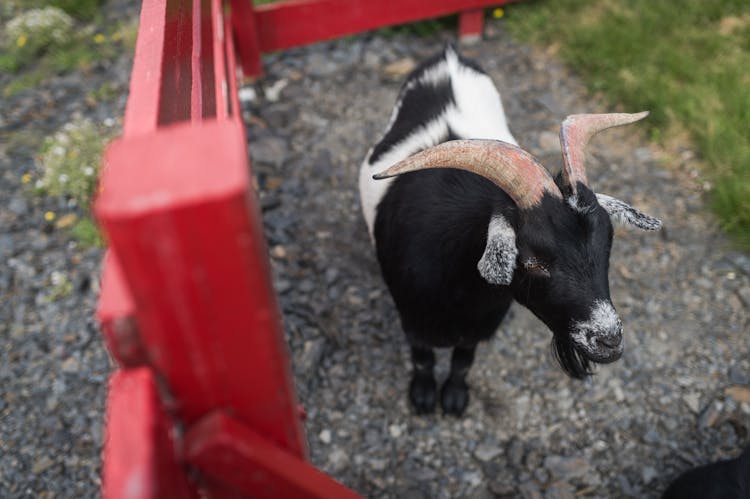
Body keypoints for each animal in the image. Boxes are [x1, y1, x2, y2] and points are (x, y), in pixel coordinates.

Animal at [362, 45, 660, 416]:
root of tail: (449, 54)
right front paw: (423, 396)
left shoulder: (483, 324)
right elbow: (422, 357)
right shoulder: (411, 317)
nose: (609, 341)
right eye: (531, 260)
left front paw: (455, 397)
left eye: (607, 244)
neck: (457, 293)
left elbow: (463, 360)